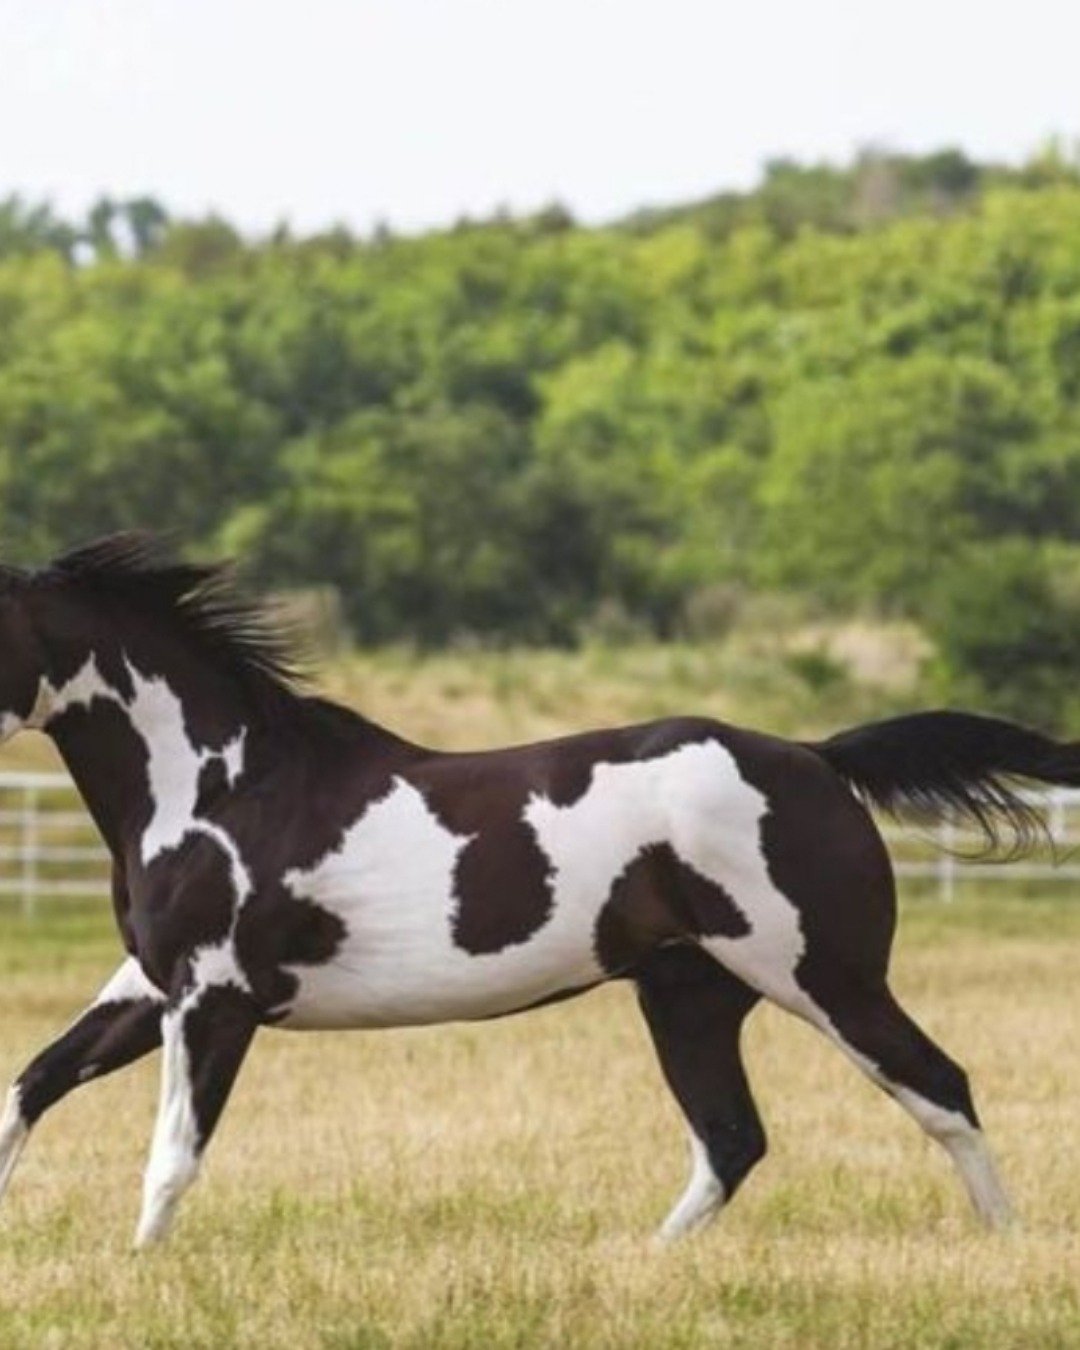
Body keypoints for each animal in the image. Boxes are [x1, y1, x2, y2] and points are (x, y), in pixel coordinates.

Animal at [0, 533, 1076, 1249]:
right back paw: (644, 1266)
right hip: (691, 993)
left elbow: (170, 1156)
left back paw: (1007, 1247)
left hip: (824, 977)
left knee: (939, 1088)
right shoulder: (156, 987)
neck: (219, 784)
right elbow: (34, 1081)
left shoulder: (216, 998)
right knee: (732, 1140)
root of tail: (819, 757)